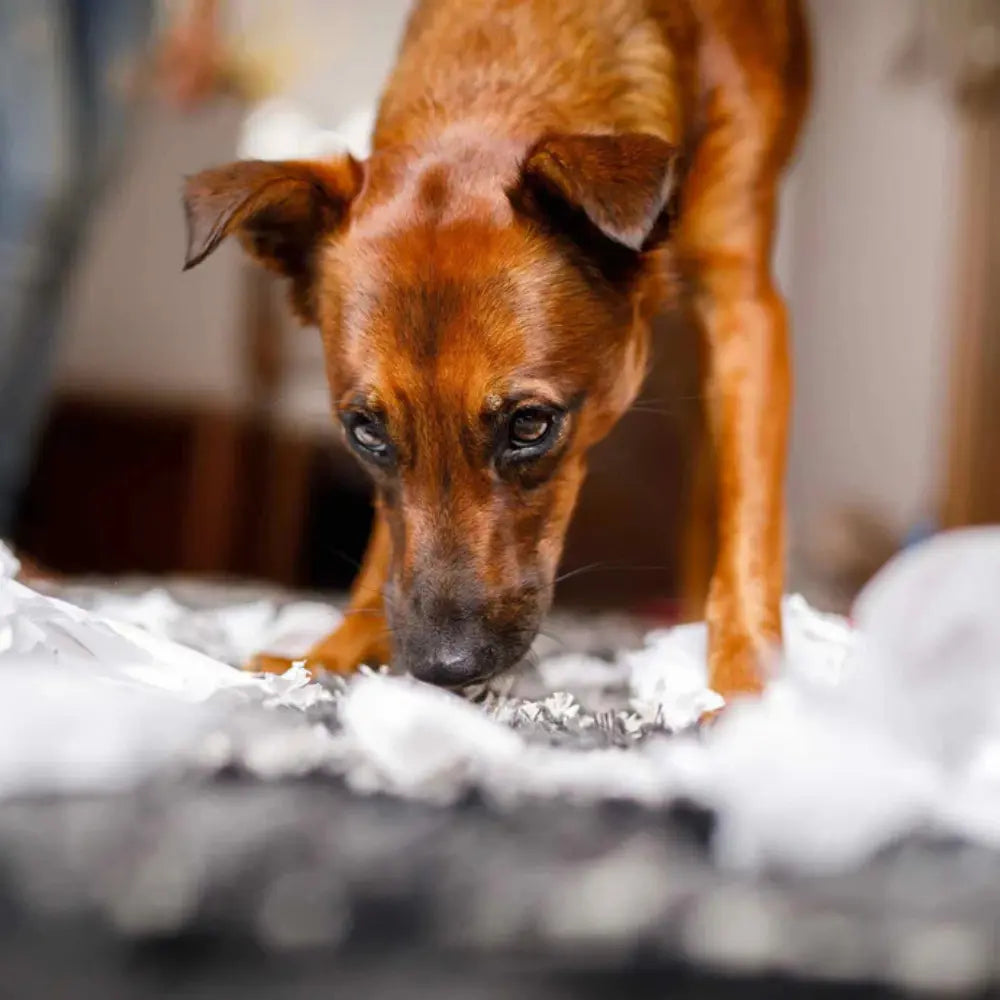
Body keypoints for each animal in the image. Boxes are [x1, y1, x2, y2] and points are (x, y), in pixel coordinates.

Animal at [182, 0, 812, 700]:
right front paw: (341, 647)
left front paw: (748, 683)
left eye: (531, 424)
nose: (443, 669)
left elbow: (749, 517)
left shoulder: (742, 304)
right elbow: (389, 538)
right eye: (366, 432)